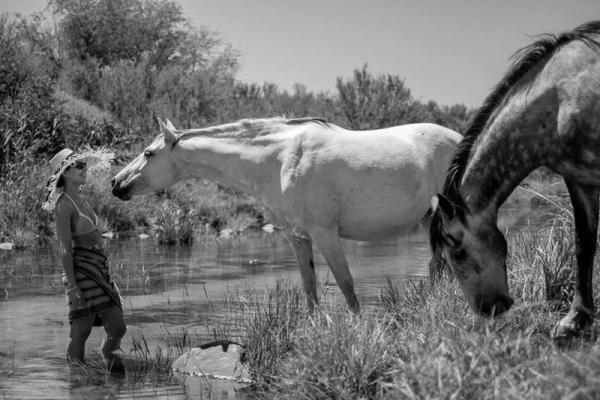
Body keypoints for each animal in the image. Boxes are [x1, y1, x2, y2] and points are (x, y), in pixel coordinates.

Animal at [111, 117, 460, 310]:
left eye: (148, 153)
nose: (115, 183)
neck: (280, 159)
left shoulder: (324, 233)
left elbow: (346, 284)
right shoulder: (297, 237)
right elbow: (310, 287)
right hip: (431, 221)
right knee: (438, 267)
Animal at [428, 20, 600, 340]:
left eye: (458, 252)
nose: (489, 309)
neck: (560, 97)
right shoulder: (579, 178)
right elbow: (584, 243)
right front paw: (575, 320)